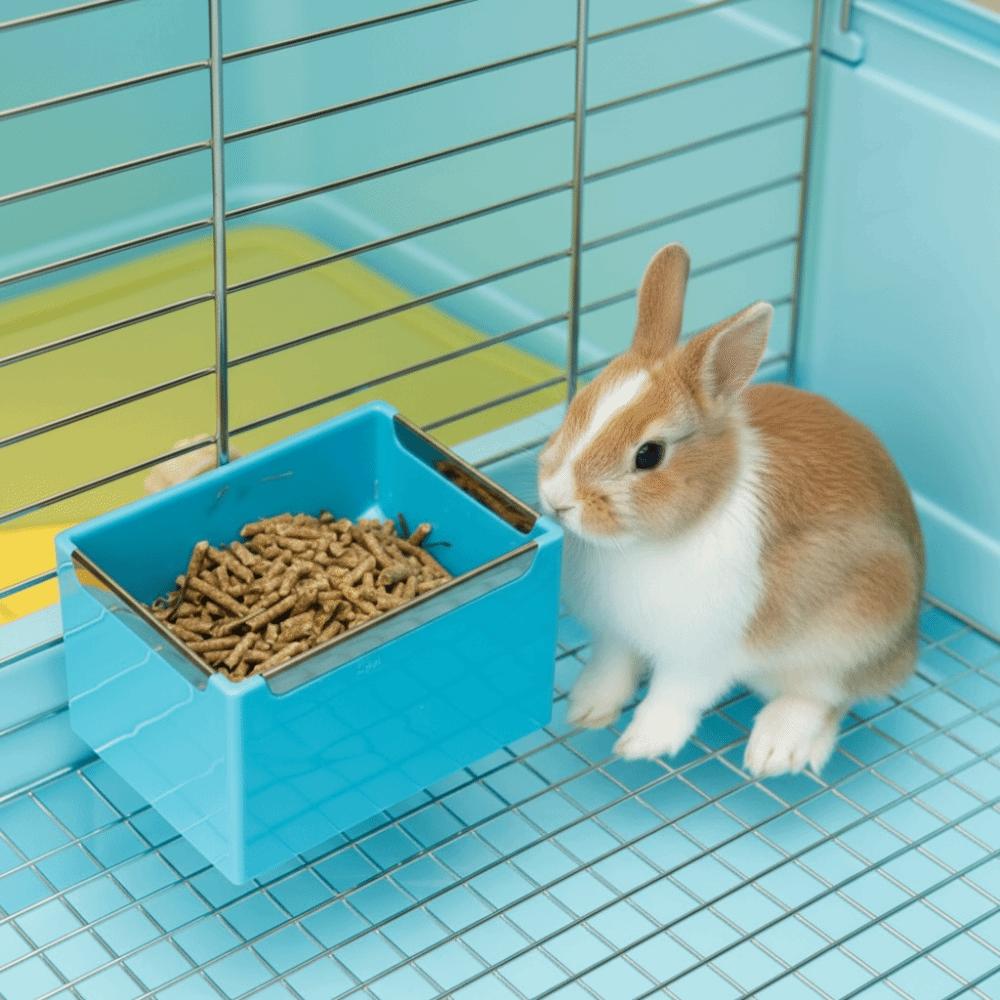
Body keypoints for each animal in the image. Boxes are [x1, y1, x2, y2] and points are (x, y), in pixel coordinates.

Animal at [538, 243, 924, 777]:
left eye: (649, 455)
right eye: (577, 409)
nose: (558, 500)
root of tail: (907, 649)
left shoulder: (701, 655)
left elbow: (673, 697)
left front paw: (640, 744)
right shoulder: (616, 635)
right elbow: (613, 666)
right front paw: (587, 708)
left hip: (850, 632)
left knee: (827, 698)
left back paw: (776, 752)